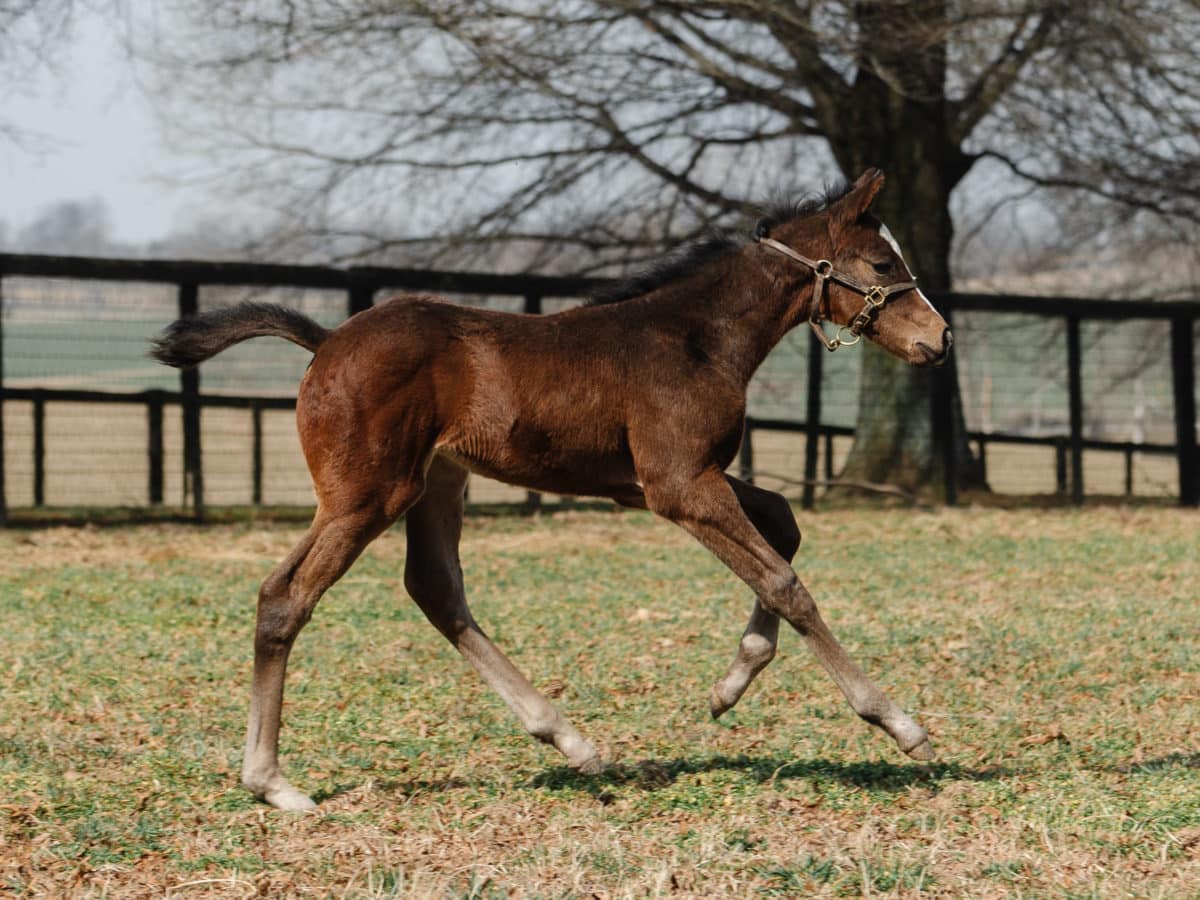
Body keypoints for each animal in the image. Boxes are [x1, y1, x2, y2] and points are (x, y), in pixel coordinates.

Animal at [154, 169, 950, 811]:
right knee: (286, 596)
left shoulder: (662, 481)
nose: (939, 341)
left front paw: (729, 686)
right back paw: (271, 782)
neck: (695, 338)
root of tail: (325, 343)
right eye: (883, 261)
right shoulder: (678, 486)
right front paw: (898, 723)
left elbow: (784, 526)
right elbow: (784, 580)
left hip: (435, 483)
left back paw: (571, 741)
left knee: (435, 590)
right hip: (366, 495)